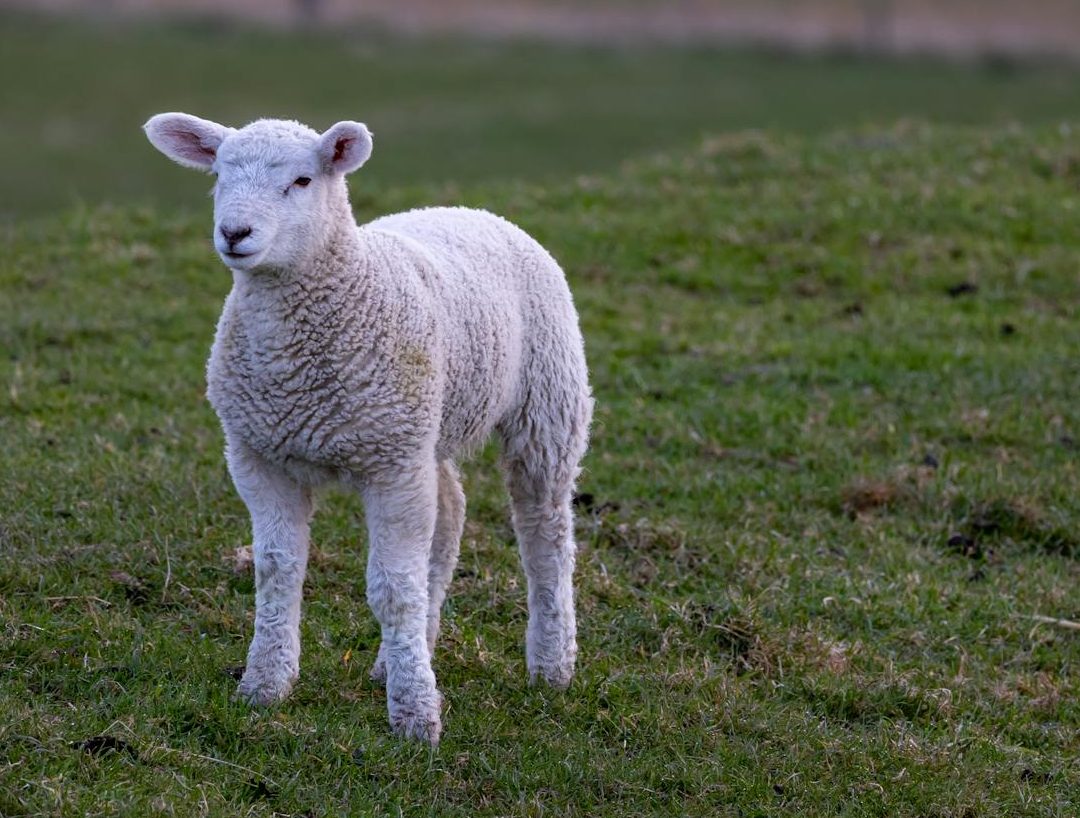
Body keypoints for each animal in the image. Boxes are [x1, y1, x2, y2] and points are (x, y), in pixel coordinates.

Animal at [143, 113, 592, 744]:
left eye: (303, 180)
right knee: (450, 513)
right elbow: (277, 572)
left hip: (545, 402)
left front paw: (415, 716)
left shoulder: (390, 466)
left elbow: (393, 590)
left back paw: (552, 665)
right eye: (218, 175)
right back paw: (404, 654)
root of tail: (470, 209)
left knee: (544, 532)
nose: (235, 233)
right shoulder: (260, 457)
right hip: (424, 427)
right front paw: (264, 686)